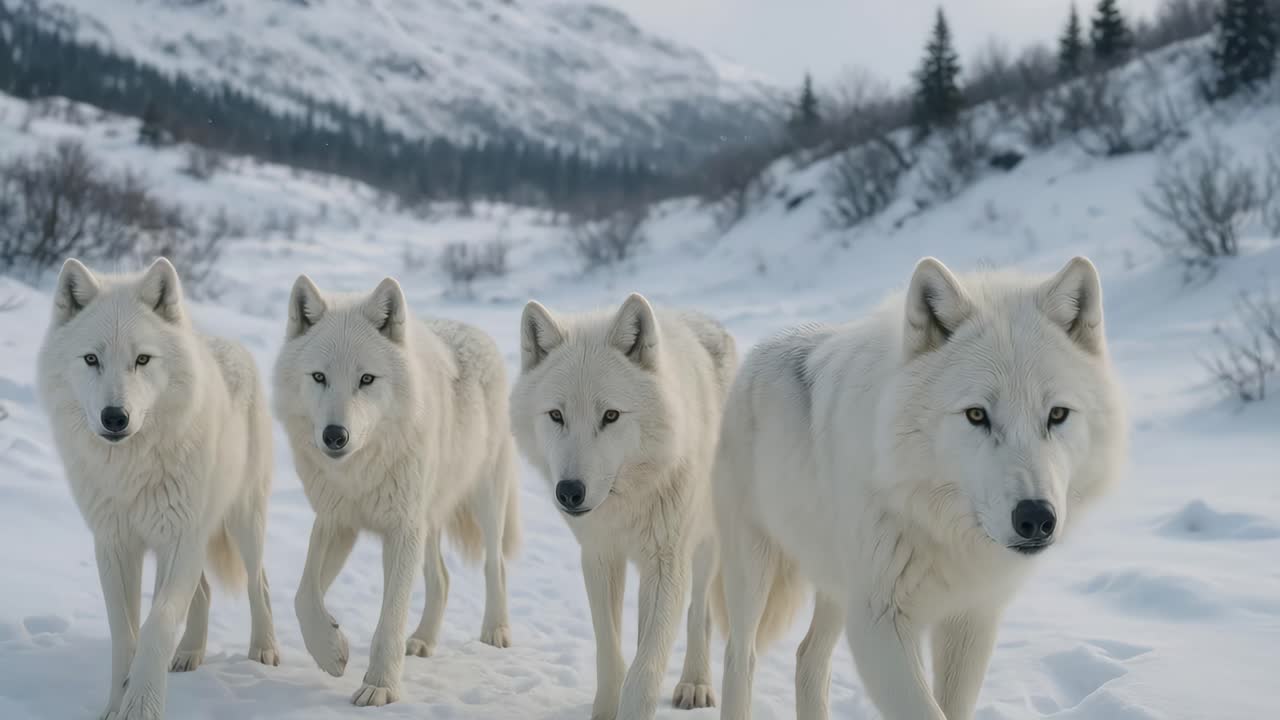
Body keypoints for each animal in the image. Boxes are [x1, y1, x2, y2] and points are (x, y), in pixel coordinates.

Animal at [36, 257, 279, 720]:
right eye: (91, 359)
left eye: (142, 360)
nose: (115, 417)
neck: (131, 469)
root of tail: (226, 343)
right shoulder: (115, 545)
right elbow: (125, 634)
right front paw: (117, 703)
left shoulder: (178, 540)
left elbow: (157, 625)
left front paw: (142, 705)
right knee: (204, 592)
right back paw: (188, 654)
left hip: (243, 523)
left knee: (259, 583)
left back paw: (265, 651)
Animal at [273, 275, 519, 706]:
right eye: (319, 377)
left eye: (366, 379)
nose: (335, 436)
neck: (360, 471)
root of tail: (474, 329)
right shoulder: (337, 521)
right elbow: (303, 595)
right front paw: (331, 652)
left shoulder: (402, 530)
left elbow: (390, 617)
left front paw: (380, 686)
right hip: (429, 519)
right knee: (442, 578)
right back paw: (422, 640)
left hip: (485, 500)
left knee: (496, 564)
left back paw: (495, 630)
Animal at [510, 293, 737, 719]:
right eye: (556, 415)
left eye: (611, 415)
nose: (569, 492)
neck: (630, 500)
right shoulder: (600, 556)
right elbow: (611, 655)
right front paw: (604, 709)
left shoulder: (667, 564)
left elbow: (644, 672)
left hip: (705, 546)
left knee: (700, 613)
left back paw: (695, 684)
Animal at [713, 257, 1127, 720]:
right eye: (976, 415)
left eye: (1057, 414)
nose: (1036, 518)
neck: (942, 530)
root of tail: (765, 347)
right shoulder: (879, 625)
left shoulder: (970, 619)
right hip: (753, 571)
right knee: (739, 656)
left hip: (836, 588)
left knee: (808, 658)